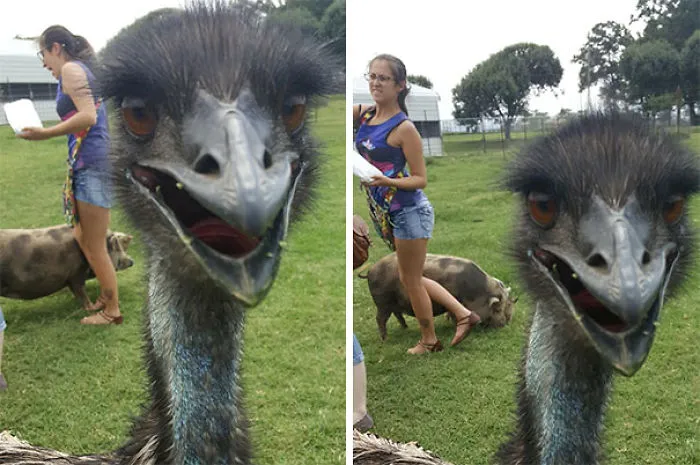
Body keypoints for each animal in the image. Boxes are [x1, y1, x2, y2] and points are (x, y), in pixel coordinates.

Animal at [364, 253, 516, 340]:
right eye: (497, 308)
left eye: (508, 305)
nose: (504, 325)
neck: (477, 293)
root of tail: (371, 270)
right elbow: (455, 315)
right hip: (382, 302)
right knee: (380, 319)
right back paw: (385, 339)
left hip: (393, 303)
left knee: (397, 314)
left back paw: (405, 328)